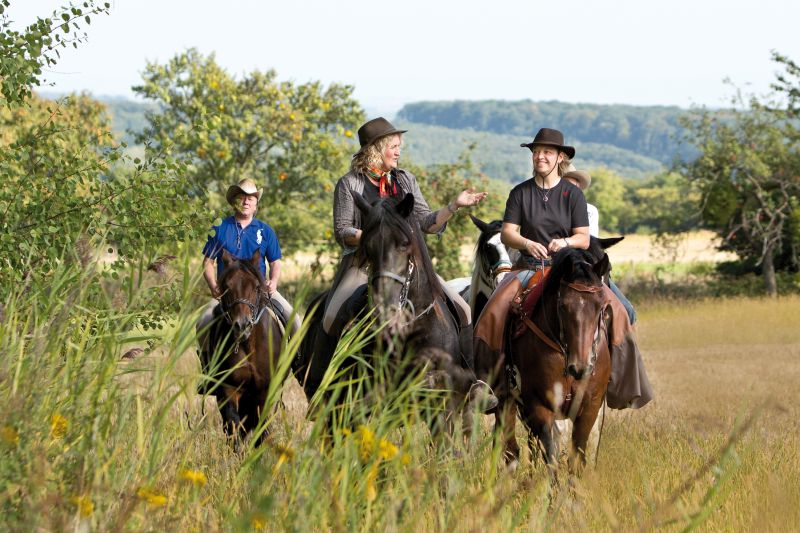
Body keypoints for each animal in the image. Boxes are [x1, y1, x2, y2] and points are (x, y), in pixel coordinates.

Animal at [200, 248, 284, 444]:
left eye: (256, 287)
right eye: (227, 287)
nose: (242, 325)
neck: (248, 345)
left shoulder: (265, 390)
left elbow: (262, 426)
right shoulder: (228, 388)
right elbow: (233, 424)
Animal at [496, 239, 620, 476]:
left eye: (600, 306)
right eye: (563, 306)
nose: (580, 368)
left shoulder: (589, 408)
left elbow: (577, 459)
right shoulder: (540, 407)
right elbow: (551, 458)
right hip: (506, 401)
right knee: (510, 449)